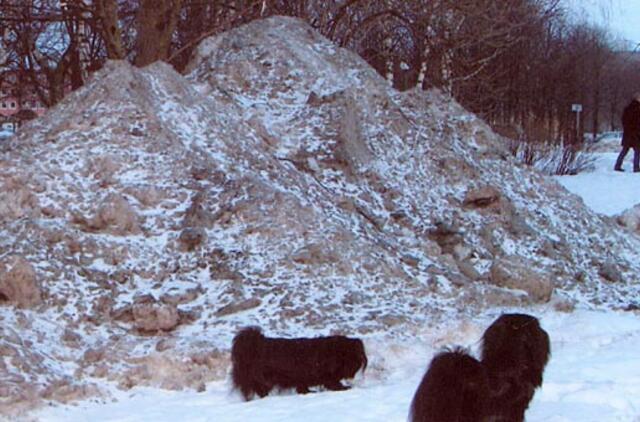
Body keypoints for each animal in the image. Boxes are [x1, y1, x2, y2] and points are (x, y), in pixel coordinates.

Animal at [232, 328, 368, 400]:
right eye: (351, 357)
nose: (360, 359)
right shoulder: (326, 377)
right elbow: (333, 384)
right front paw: (345, 388)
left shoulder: (303, 378)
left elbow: (302, 388)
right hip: (263, 378)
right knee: (259, 389)